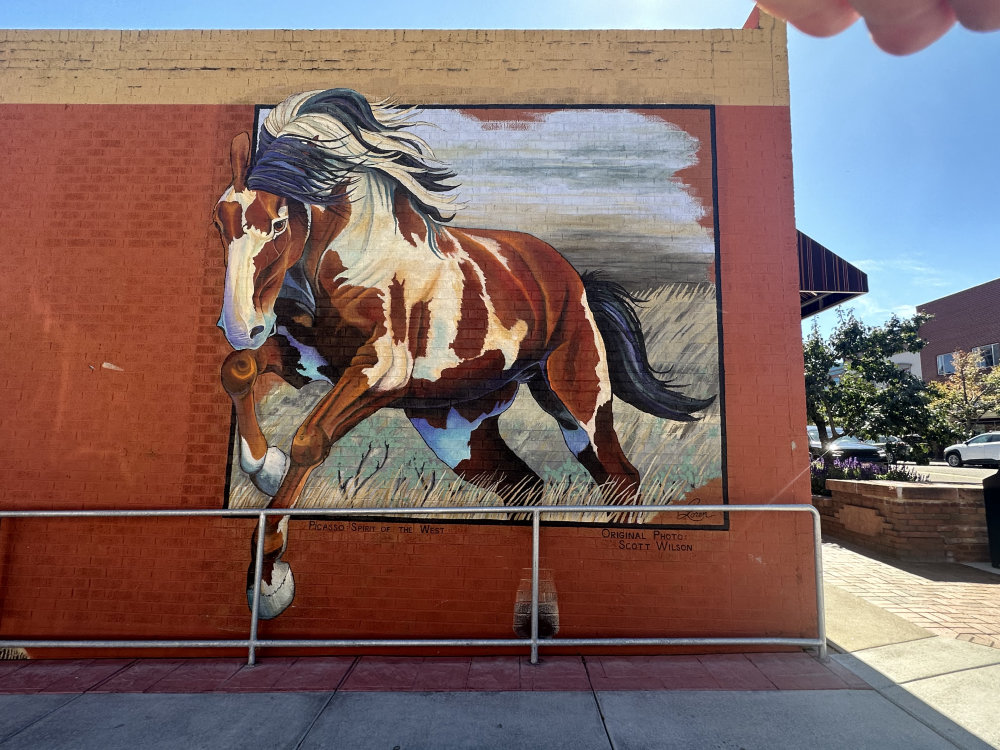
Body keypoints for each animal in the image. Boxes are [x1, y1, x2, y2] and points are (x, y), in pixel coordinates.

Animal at [215, 88, 716, 620]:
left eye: (278, 222)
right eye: (219, 221)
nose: (240, 325)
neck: (355, 259)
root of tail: (573, 278)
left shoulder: (379, 373)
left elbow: (310, 439)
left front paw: (269, 582)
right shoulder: (307, 358)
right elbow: (238, 369)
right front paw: (263, 467)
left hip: (578, 404)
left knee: (619, 477)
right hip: (458, 431)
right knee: (525, 486)